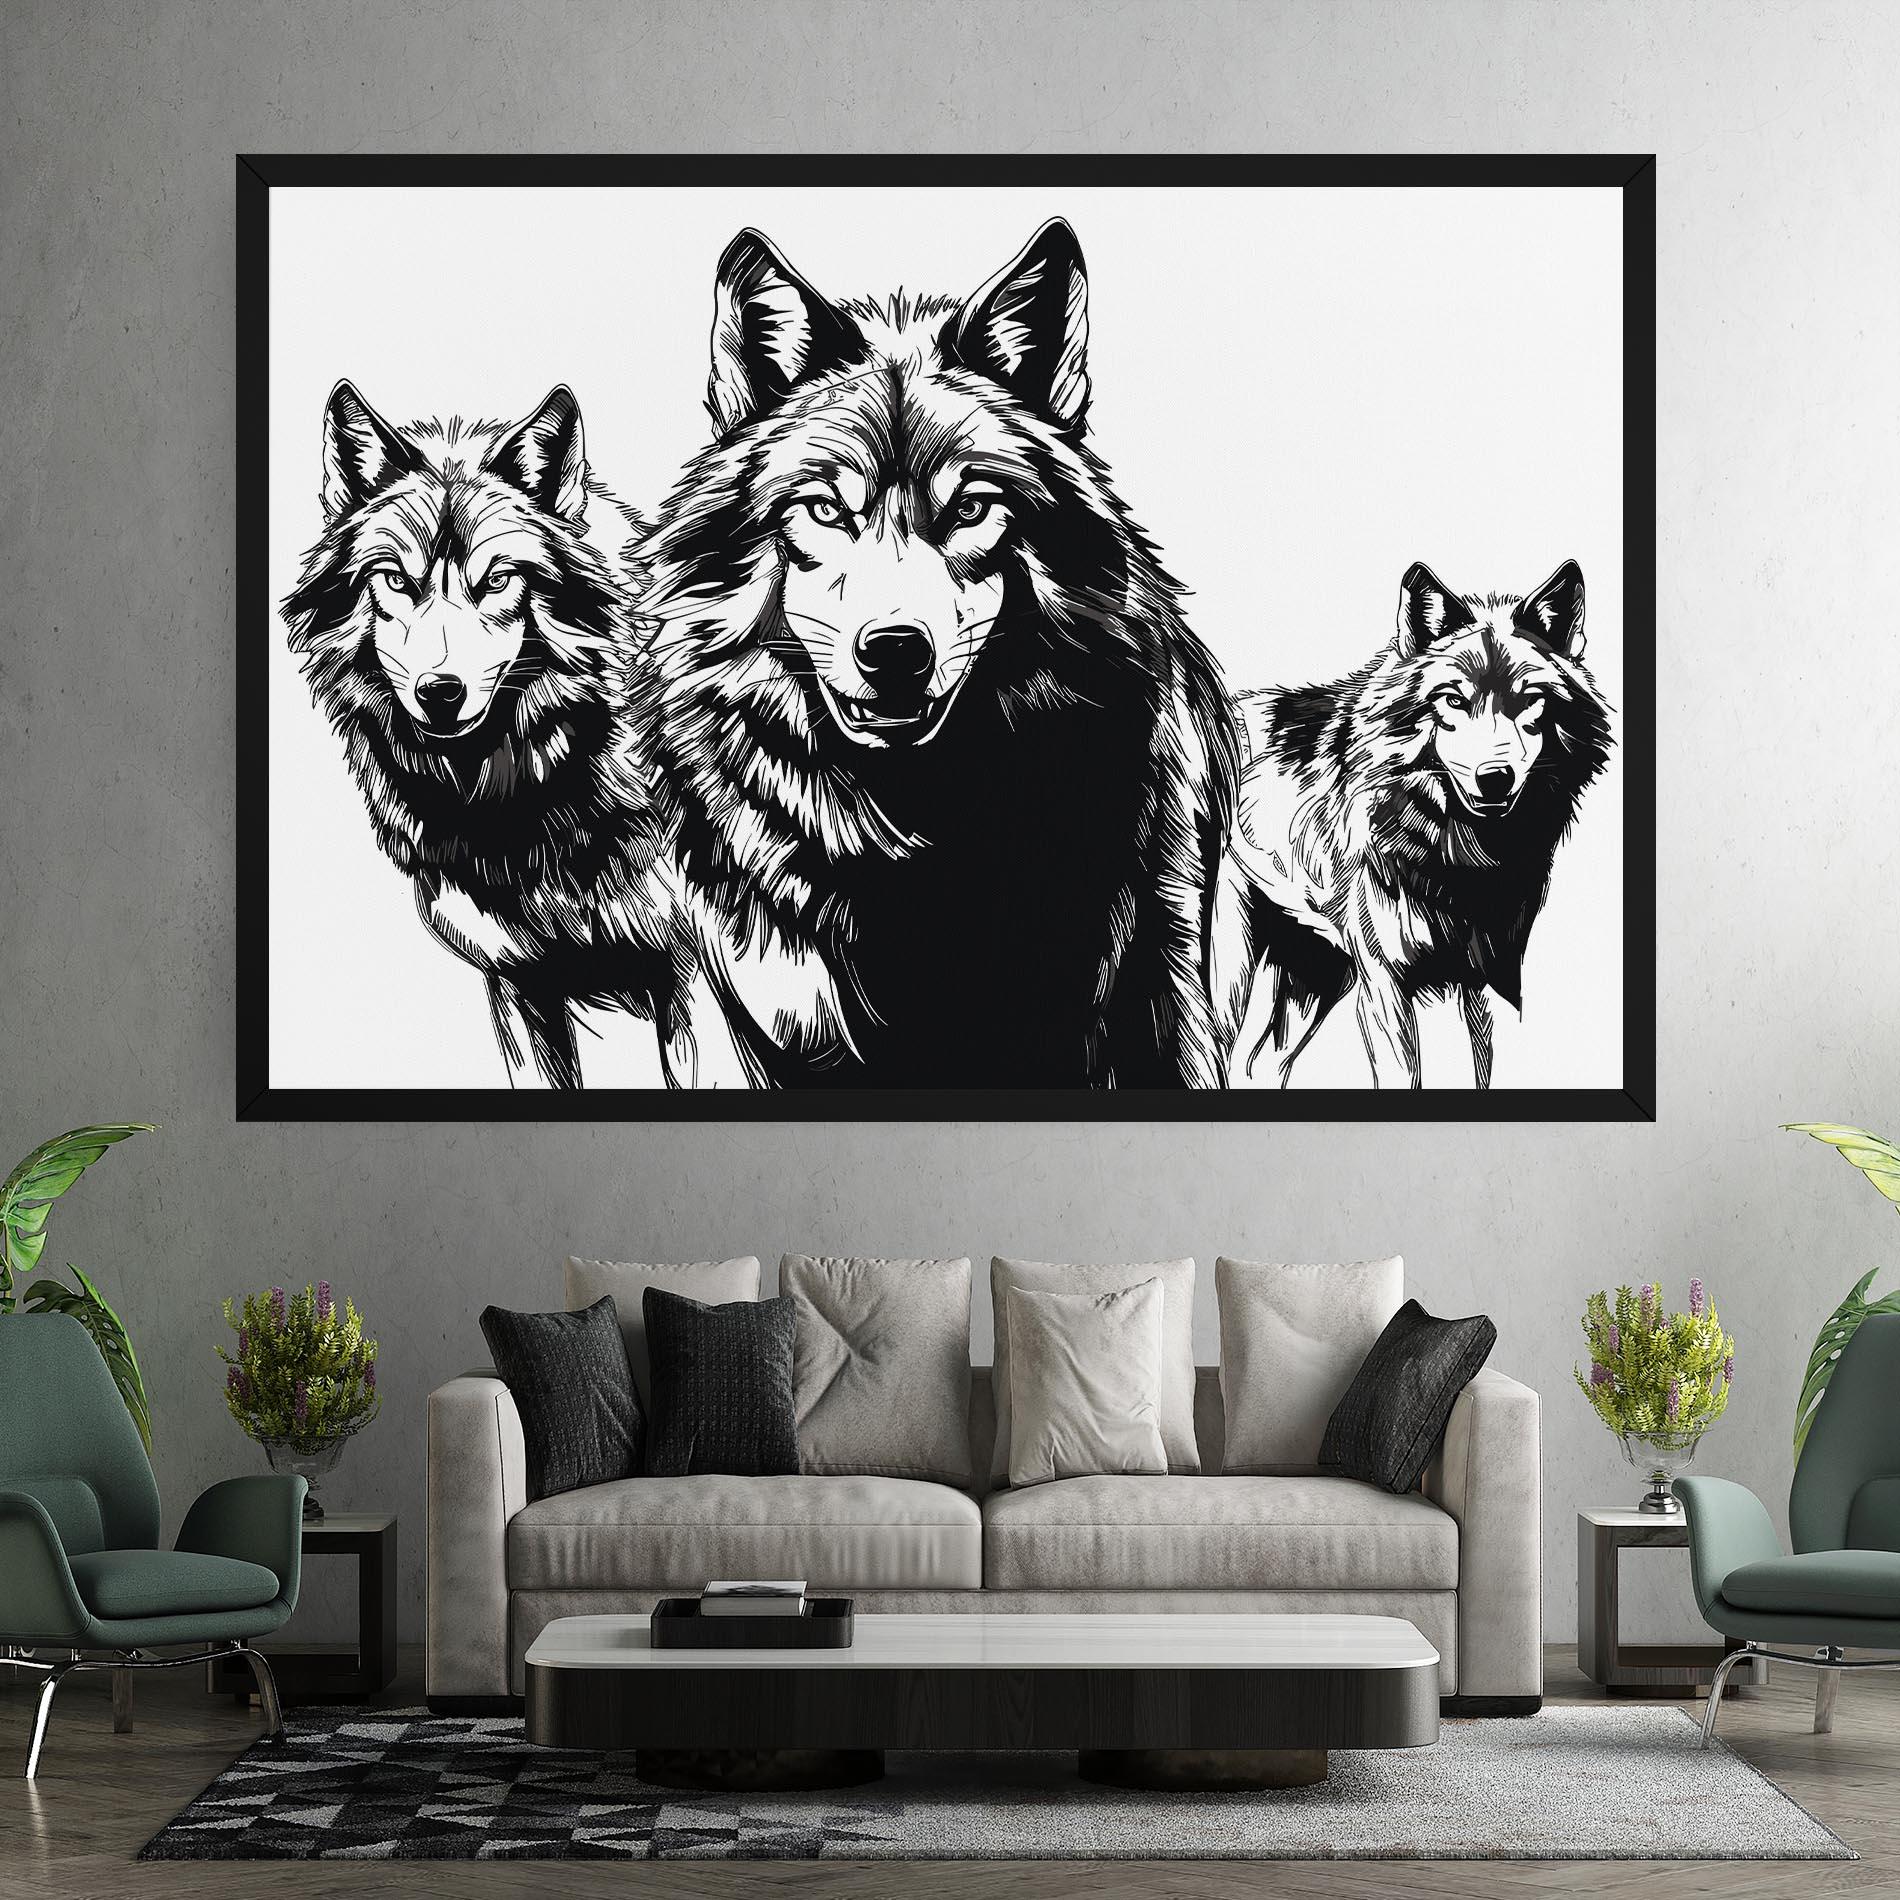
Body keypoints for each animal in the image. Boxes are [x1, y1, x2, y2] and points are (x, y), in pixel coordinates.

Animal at [1217, 560, 1613, 1089]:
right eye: (1452, 700)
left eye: (1528, 699)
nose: (1495, 778)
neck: (1463, 859)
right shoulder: (1386, 985)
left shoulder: (1488, 984)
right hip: (1230, 969)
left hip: (1318, 973)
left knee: (1259, 1062)